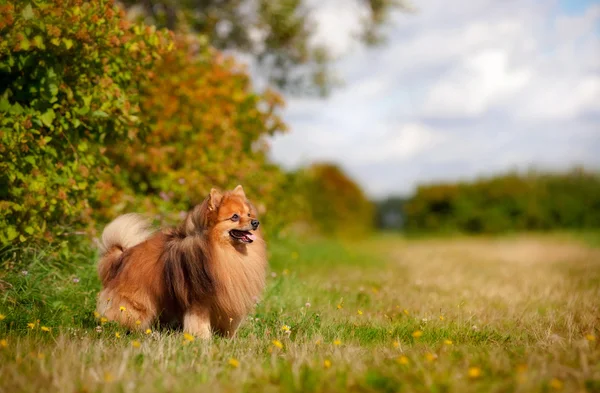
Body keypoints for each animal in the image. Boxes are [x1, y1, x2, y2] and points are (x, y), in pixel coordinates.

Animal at [95, 186, 264, 336]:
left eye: (249, 214)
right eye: (235, 216)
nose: (255, 222)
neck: (223, 251)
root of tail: (122, 256)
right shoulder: (199, 300)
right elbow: (199, 322)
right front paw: (201, 338)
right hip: (137, 303)